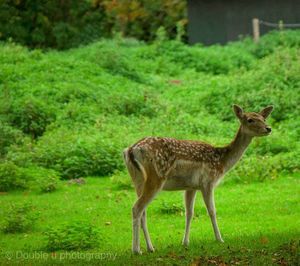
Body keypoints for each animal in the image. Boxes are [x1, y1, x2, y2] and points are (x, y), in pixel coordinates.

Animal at [123, 104, 274, 254]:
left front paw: (185, 242)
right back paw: (136, 250)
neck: (221, 162)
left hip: (137, 180)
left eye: (263, 118)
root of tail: (130, 150)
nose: (268, 128)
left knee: (143, 212)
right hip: (156, 177)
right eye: (250, 120)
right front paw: (219, 239)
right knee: (137, 208)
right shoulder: (208, 182)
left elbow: (189, 213)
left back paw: (150, 248)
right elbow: (212, 211)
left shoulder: (191, 187)